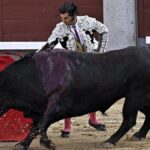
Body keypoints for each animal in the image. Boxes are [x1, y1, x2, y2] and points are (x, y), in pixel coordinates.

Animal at [0, 46, 150, 149]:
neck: (36, 75)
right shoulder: (40, 109)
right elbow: (36, 126)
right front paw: (23, 144)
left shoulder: (57, 105)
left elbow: (41, 125)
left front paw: (48, 143)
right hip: (141, 99)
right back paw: (138, 135)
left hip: (135, 96)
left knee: (129, 120)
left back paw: (110, 141)